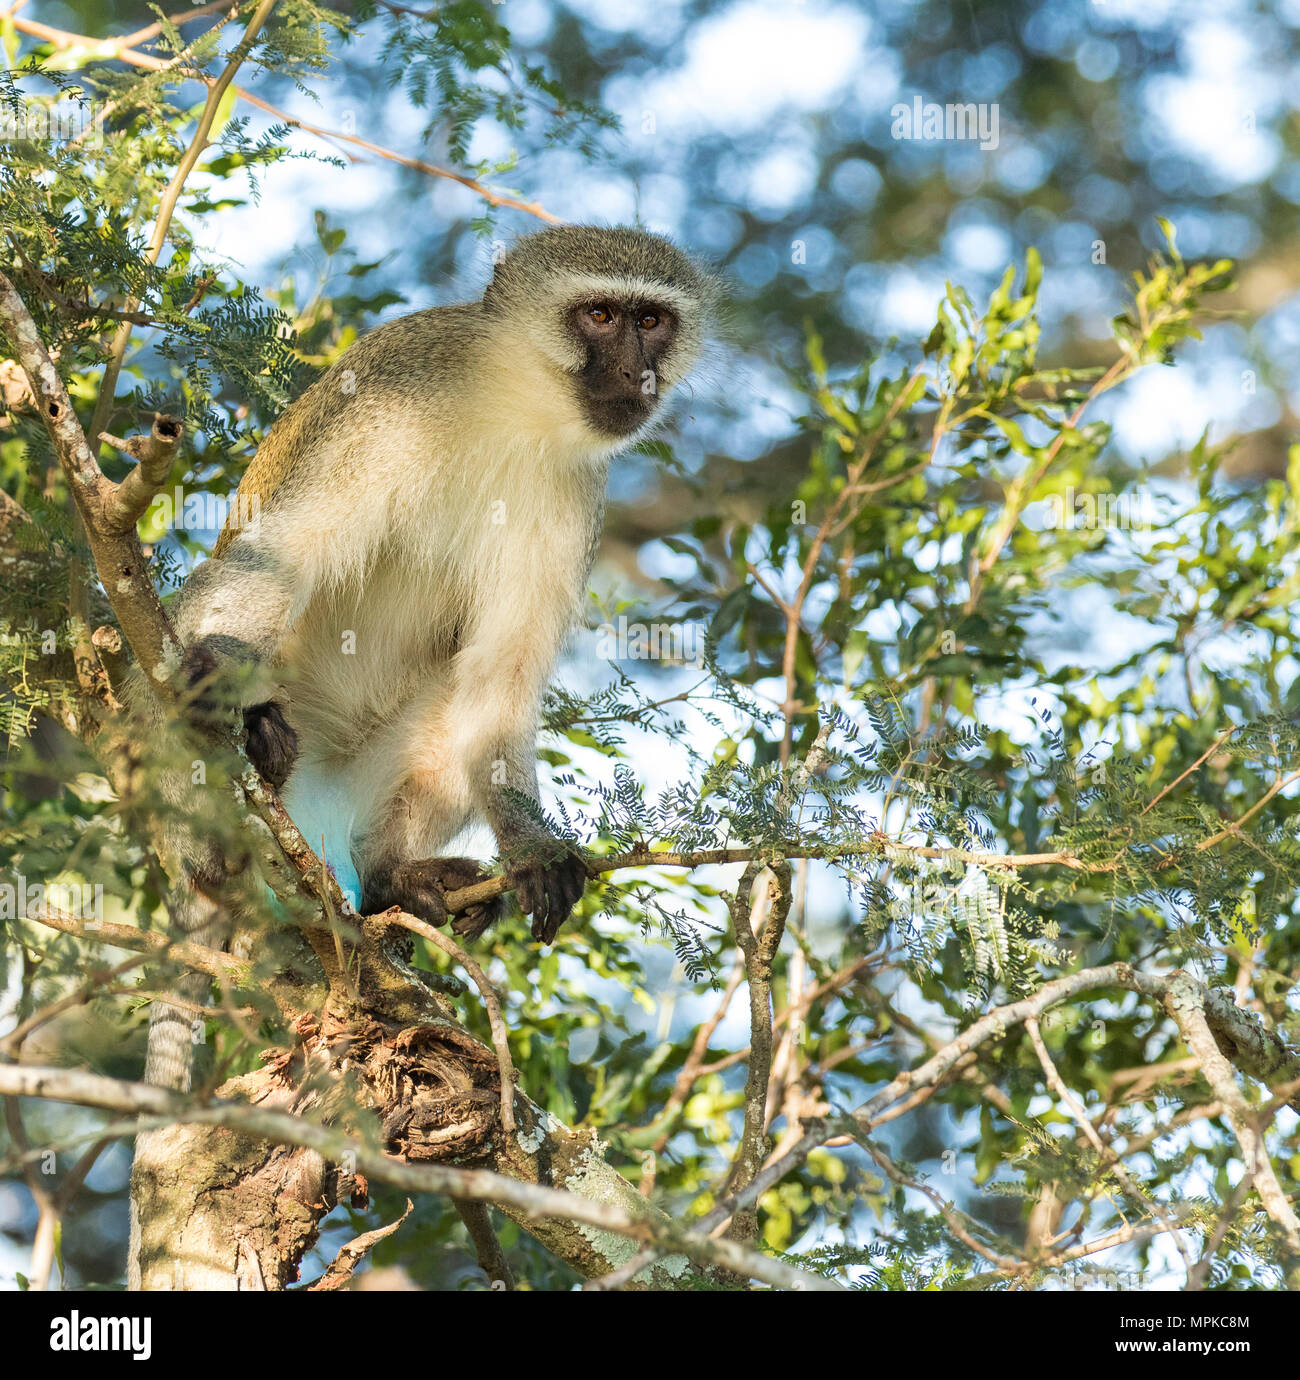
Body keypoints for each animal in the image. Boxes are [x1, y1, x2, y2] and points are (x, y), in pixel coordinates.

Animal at [142, 226, 723, 1087]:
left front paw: (533, 849)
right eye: (600, 315)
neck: (511, 404)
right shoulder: (388, 401)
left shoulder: (575, 490)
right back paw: (239, 767)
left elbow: (501, 680)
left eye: (652, 321)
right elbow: (282, 557)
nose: (640, 372)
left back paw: (396, 879)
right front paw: (217, 677)